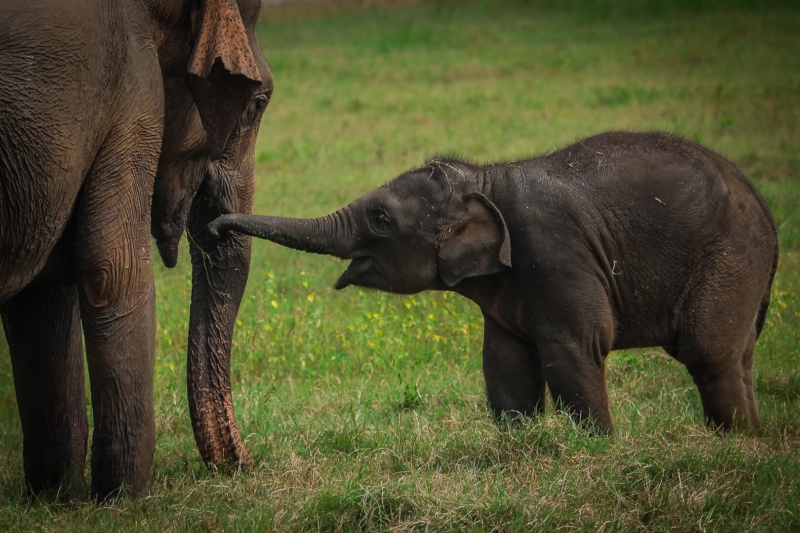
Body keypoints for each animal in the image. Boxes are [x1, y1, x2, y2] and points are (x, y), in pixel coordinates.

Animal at [0, 1, 274, 498]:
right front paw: (125, 499)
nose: (249, 463)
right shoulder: (133, 92)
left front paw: (54, 495)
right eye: (256, 103)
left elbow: (43, 294)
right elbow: (113, 270)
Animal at [209, 132, 780, 432]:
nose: (214, 224)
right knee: (740, 356)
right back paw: (749, 441)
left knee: (707, 352)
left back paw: (727, 442)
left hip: (729, 258)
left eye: (380, 219)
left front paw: (599, 447)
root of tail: (766, 211)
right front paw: (523, 446)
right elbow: (506, 367)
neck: (485, 179)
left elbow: (575, 352)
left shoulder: (557, 255)